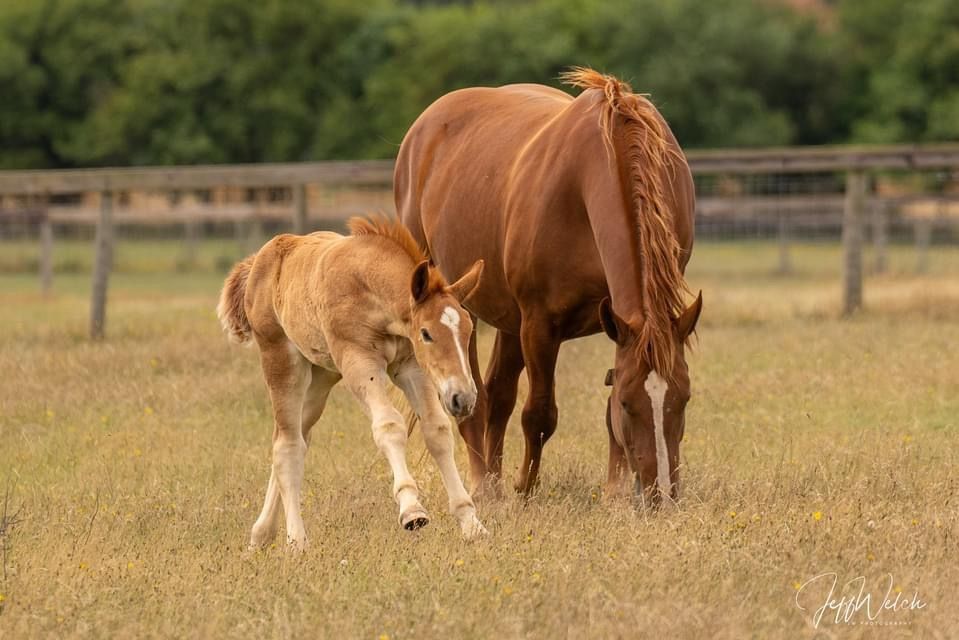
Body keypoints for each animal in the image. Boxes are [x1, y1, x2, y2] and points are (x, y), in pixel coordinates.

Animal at [218, 218, 488, 548]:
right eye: (426, 333)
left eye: (468, 328)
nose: (464, 398)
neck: (366, 287)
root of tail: (262, 258)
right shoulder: (359, 363)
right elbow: (388, 425)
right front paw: (412, 509)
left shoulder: (412, 367)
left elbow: (436, 430)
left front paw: (471, 522)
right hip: (281, 362)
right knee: (287, 445)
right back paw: (296, 540)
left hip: (321, 378)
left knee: (295, 437)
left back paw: (262, 533)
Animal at [394, 67, 700, 502]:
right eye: (629, 404)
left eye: (685, 397)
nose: (660, 494)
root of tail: (423, 127)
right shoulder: (539, 325)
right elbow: (539, 413)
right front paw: (525, 488)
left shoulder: (616, 322)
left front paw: (614, 491)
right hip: (459, 304)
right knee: (473, 401)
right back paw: (484, 485)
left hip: (508, 318)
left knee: (498, 393)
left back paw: (494, 480)